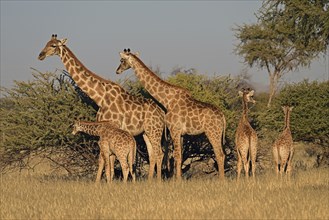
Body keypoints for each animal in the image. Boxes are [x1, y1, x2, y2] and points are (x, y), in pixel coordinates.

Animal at [38, 34, 165, 182]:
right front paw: (102, 182)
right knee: (152, 154)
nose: (40, 55)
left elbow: (105, 161)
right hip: (146, 132)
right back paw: (150, 181)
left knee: (159, 153)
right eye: (46, 43)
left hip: (155, 131)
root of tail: (162, 113)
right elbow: (104, 161)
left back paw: (158, 181)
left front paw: (101, 183)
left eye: (53, 46)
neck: (100, 97)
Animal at [115, 49, 226, 180]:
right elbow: (180, 156)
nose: (117, 71)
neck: (167, 100)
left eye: (122, 60)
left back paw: (221, 180)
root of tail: (223, 117)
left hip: (212, 132)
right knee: (222, 154)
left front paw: (177, 181)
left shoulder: (174, 130)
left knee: (219, 154)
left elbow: (177, 156)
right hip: (217, 133)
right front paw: (178, 179)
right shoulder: (181, 133)